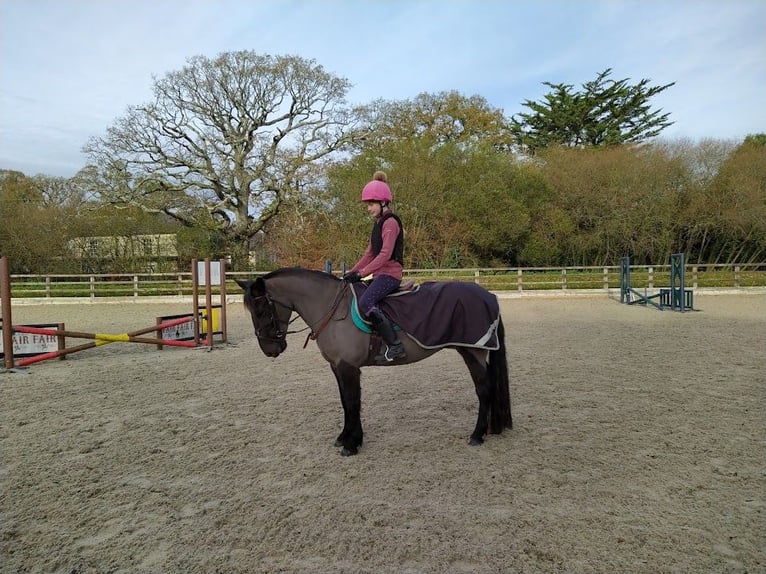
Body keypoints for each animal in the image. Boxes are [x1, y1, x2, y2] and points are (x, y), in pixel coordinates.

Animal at [238, 270, 516, 460]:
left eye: (261, 310)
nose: (270, 350)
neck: (332, 308)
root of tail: (488, 295)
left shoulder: (348, 367)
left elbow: (352, 402)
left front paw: (351, 444)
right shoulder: (338, 367)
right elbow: (345, 402)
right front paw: (345, 438)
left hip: (472, 352)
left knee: (484, 390)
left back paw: (477, 435)